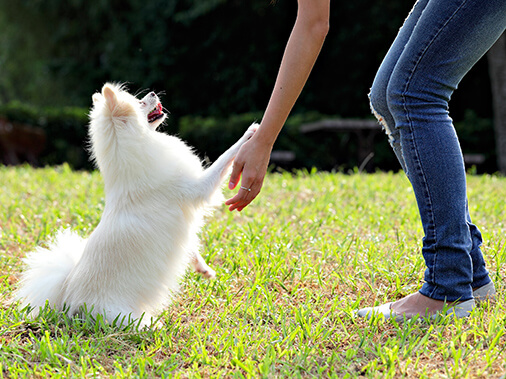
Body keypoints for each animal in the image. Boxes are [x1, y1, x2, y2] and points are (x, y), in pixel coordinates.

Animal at [14, 84, 256, 328]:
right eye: (140, 102)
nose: (153, 93)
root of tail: (68, 299)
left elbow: (191, 246)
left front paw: (203, 268)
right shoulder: (199, 187)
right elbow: (226, 157)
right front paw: (250, 133)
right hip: (122, 316)